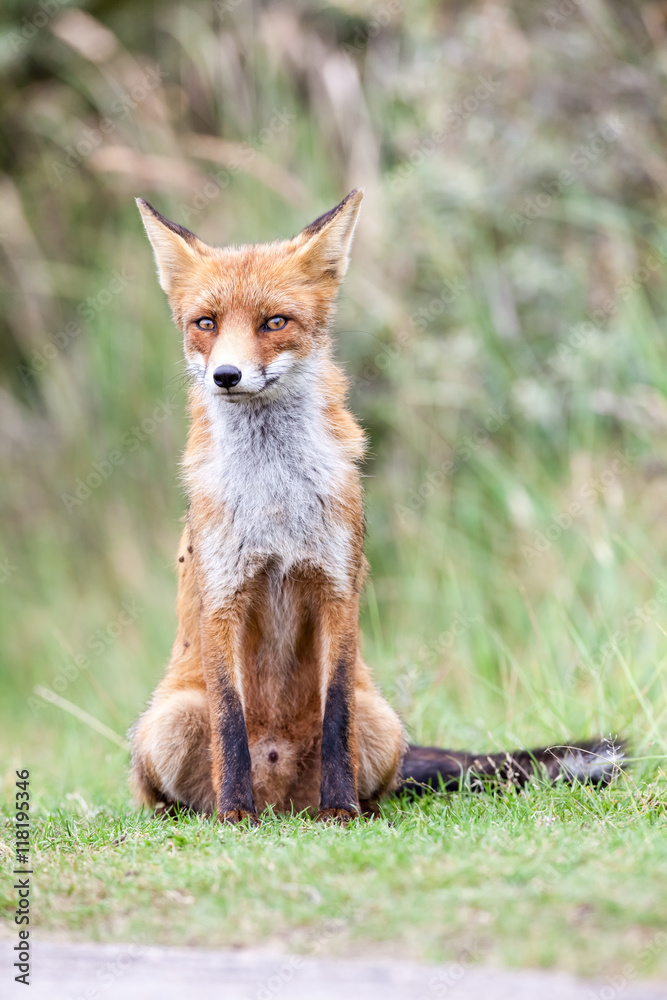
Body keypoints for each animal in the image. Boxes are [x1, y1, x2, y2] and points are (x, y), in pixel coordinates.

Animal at [130, 190, 624, 824]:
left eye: (274, 322)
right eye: (206, 324)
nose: (227, 375)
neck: (276, 499)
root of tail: (284, 802)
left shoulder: (337, 588)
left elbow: (336, 710)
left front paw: (341, 811)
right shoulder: (223, 596)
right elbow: (229, 724)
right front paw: (235, 817)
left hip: (383, 721)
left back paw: (349, 808)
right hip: (166, 723)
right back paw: (212, 813)